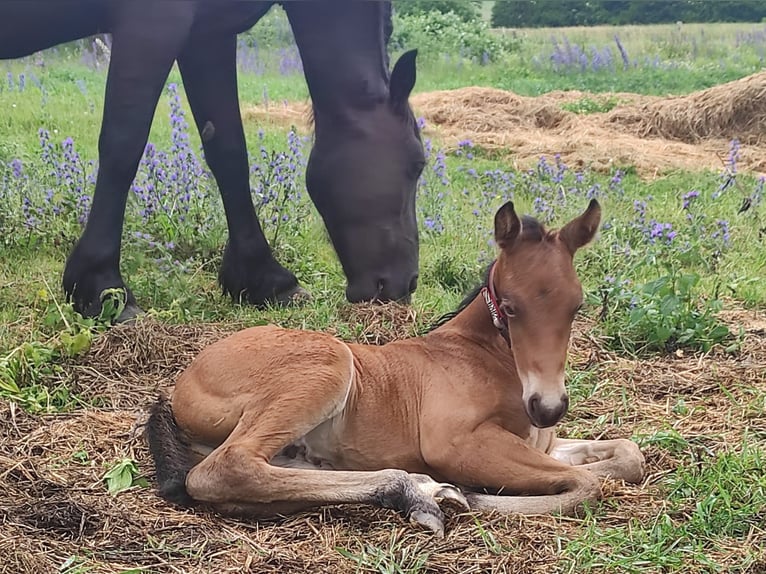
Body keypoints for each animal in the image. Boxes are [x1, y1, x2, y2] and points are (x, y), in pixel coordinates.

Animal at [0, 1, 426, 324]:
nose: (405, 284)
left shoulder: (208, 34)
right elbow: (124, 144)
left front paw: (264, 278)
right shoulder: (153, 24)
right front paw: (102, 288)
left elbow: (229, 152)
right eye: (419, 164)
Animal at [146, 200, 648, 536]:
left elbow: (628, 456)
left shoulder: (541, 443)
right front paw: (471, 494)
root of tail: (180, 386)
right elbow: (585, 484)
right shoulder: (456, 443)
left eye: (577, 305)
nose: (547, 407)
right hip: (329, 364)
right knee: (225, 467)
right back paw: (417, 493)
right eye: (510, 306)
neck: (482, 355)